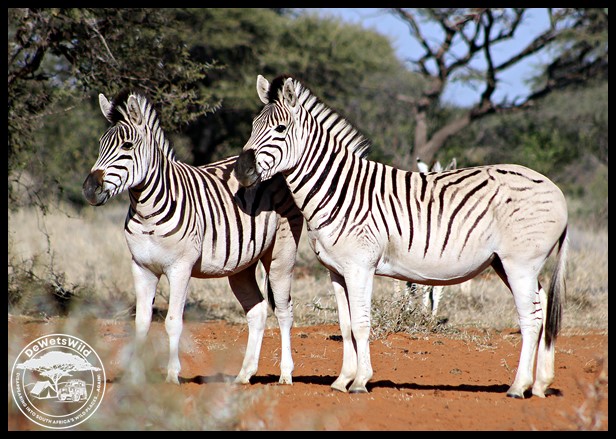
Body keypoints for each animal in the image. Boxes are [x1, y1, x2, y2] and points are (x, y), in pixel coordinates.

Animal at [82, 89, 303, 385]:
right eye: (100, 144)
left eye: (127, 146)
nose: (89, 189)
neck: (146, 210)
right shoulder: (141, 268)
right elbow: (141, 322)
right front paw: (136, 378)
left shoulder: (180, 268)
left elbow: (173, 321)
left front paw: (172, 375)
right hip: (241, 265)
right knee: (256, 311)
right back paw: (244, 374)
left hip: (281, 254)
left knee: (283, 311)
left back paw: (285, 375)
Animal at [234, 74, 569, 399]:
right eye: (252, 126)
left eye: (280, 129)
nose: (240, 171)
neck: (338, 191)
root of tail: (556, 190)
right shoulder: (336, 271)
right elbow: (345, 324)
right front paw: (342, 380)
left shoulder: (360, 267)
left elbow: (361, 323)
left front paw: (360, 382)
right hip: (506, 263)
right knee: (541, 306)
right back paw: (539, 384)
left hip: (519, 263)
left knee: (531, 318)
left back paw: (518, 387)